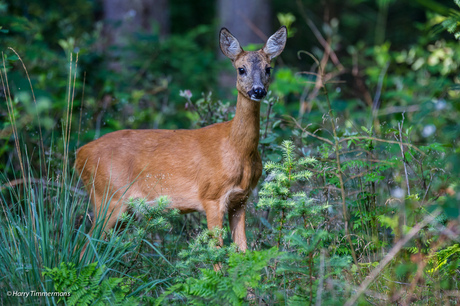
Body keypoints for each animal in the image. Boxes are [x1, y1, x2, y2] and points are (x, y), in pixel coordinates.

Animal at [76, 25, 288, 253]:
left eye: (268, 68)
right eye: (241, 69)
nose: (258, 90)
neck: (237, 148)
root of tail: (79, 154)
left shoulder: (240, 200)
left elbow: (242, 252)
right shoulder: (212, 196)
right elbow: (217, 252)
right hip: (107, 196)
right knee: (83, 246)